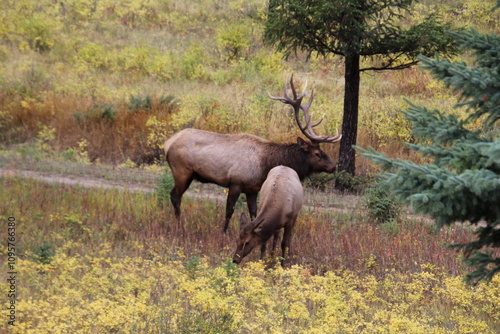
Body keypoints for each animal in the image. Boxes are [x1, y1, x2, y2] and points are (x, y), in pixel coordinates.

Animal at [164, 75, 340, 232]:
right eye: (317, 153)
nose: (333, 166)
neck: (265, 164)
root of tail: (167, 143)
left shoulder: (252, 189)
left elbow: (254, 214)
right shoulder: (236, 182)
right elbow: (229, 211)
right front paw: (223, 234)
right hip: (182, 171)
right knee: (175, 196)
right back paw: (180, 228)